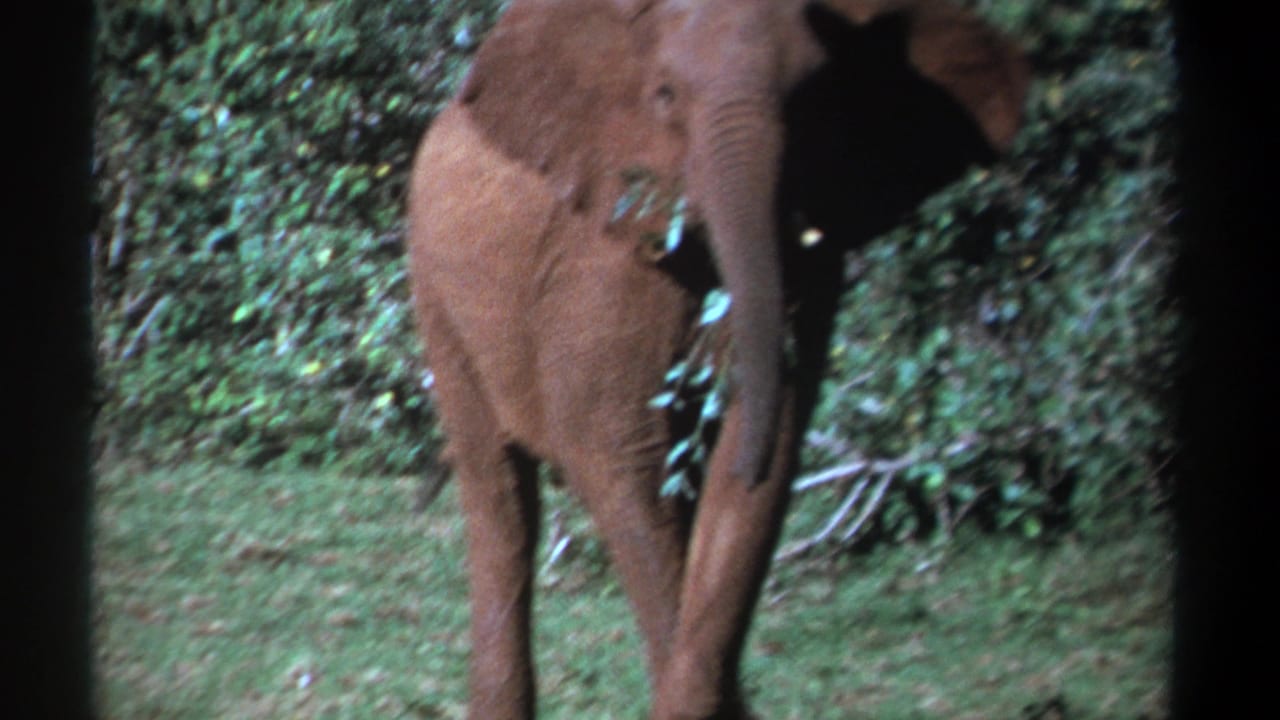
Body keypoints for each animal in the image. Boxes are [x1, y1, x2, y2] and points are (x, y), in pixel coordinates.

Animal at [404, 0, 1027, 717]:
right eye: (665, 95)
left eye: (815, 97)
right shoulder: (599, 255)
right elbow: (619, 450)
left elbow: (759, 465)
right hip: (436, 289)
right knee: (501, 499)